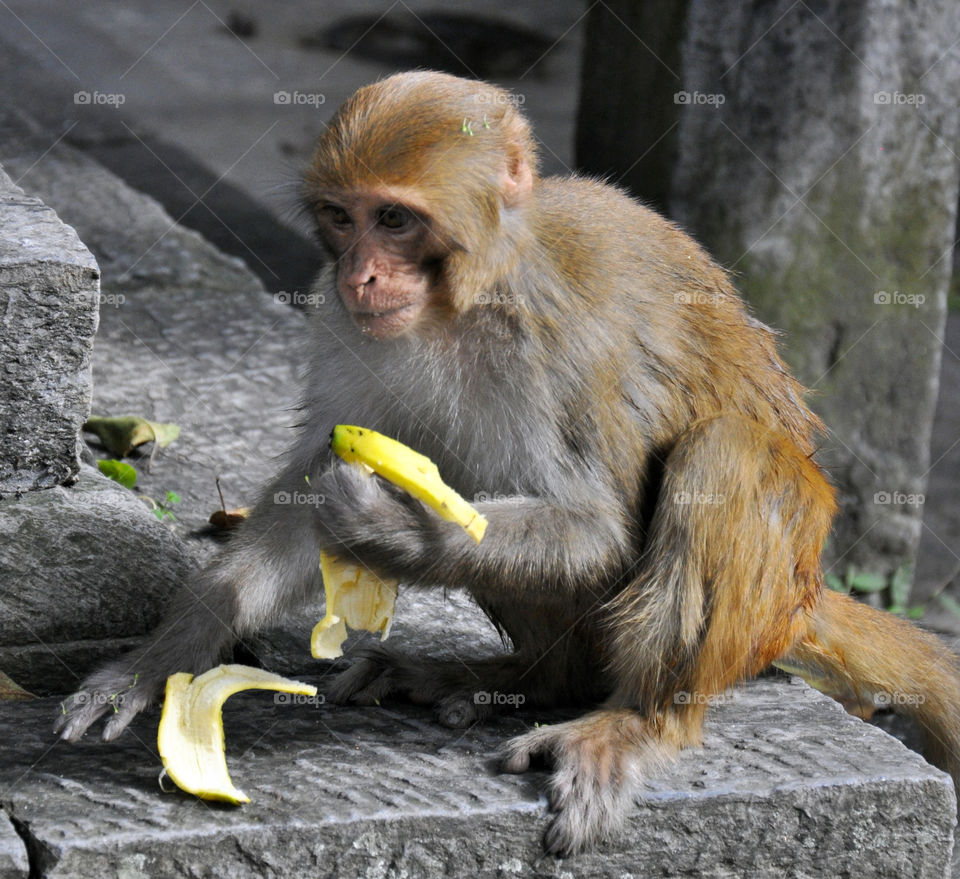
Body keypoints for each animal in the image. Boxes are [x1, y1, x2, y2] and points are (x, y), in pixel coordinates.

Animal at [54, 72, 960, 856]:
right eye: (342, 218)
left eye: (395, 220)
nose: (360, 274)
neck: (464, 300)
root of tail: (801, 595)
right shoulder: (353, 325)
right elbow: (314, 479)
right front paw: (169, 648)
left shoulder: (555, 337)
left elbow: (600, 528)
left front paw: (396, 528)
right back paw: (527, 678)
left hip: (773, 584)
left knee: (722, 452)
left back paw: (639, 721)